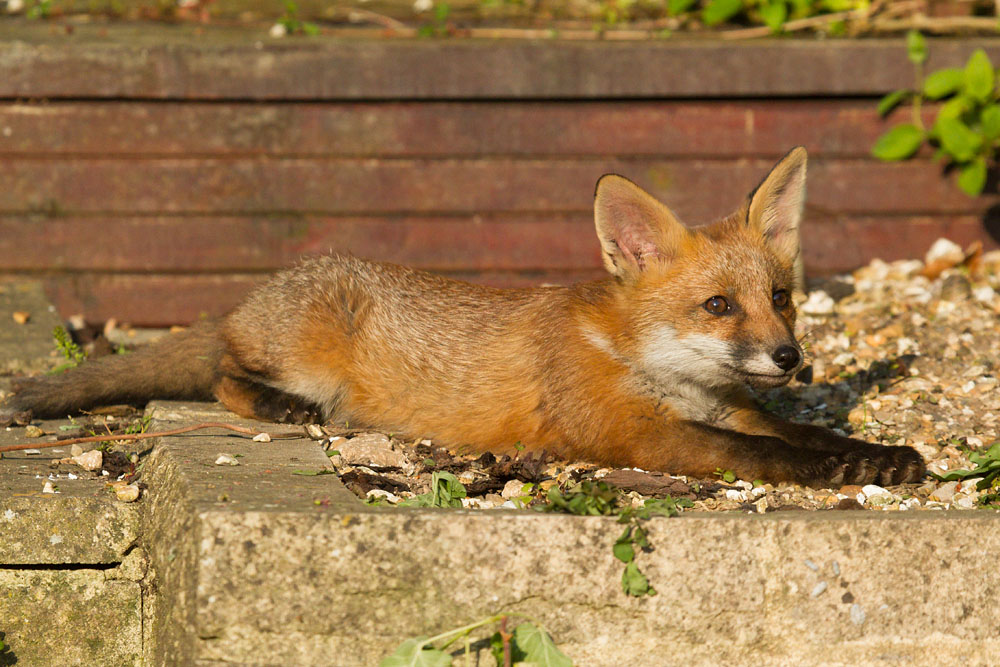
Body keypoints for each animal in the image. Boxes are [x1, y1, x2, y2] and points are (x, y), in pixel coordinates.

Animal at [1, 147, 924, 487]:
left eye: (780, 297)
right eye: (718, 305)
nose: (791, 359)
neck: (658, 371)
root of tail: (259, 291)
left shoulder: (729, 405)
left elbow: (800, 432)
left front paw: (878, 454)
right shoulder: (637, 435)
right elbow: (760, 455)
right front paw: (833, 472)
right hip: (303, 354)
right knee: (225, 374)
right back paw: (280, 406)